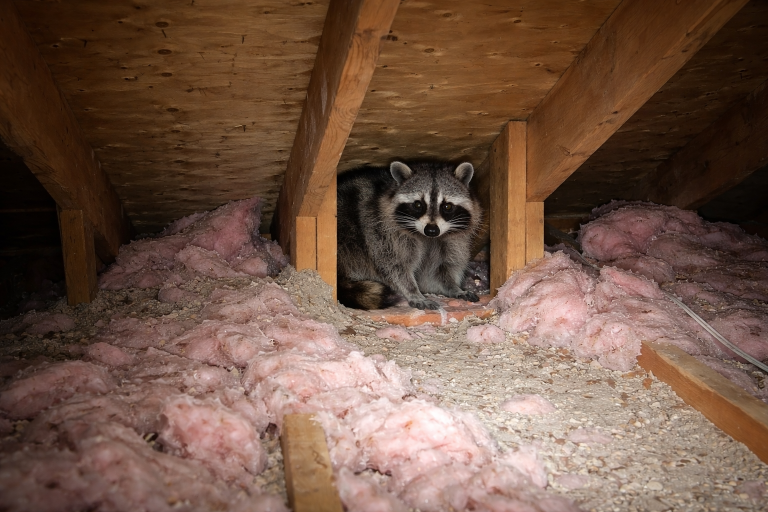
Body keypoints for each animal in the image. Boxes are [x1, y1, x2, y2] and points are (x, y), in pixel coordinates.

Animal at [337, 161, 483, 310]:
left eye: (447, 206)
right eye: (418, 204)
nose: (431, 230)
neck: (428, 238)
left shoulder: (450, 241)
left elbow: (438, 272)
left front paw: (453, 287)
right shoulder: (380, 231)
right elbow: (394, 267)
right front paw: (413, 291)